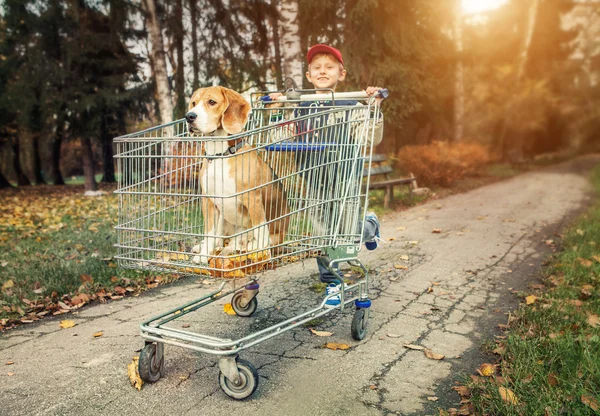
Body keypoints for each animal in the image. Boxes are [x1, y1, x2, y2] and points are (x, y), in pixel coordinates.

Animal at [188, 86, 290, 264]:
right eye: (193, 103)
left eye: (212, 102)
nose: (189, 116)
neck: (220, 155)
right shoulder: (208, 200)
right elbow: (209, 233)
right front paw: (204, 255)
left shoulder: (253, 199)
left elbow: (260, 230)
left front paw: (262, 254)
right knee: (220, 240)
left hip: (274, 234)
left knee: (254, 240)